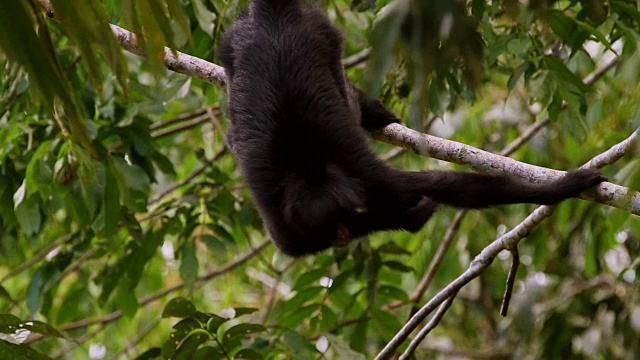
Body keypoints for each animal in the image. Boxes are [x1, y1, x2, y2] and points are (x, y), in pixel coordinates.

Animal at [219, 0, 604, 256]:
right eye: (330, 228)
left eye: (341, 218)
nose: (341, 236)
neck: (308, 168)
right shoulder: (282, 213)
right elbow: (293, 244)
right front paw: (412, 217)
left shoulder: (368, 177)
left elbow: (449, 187)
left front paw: (566, 185)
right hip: (233, 40)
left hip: (319, 29)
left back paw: (365, 108)